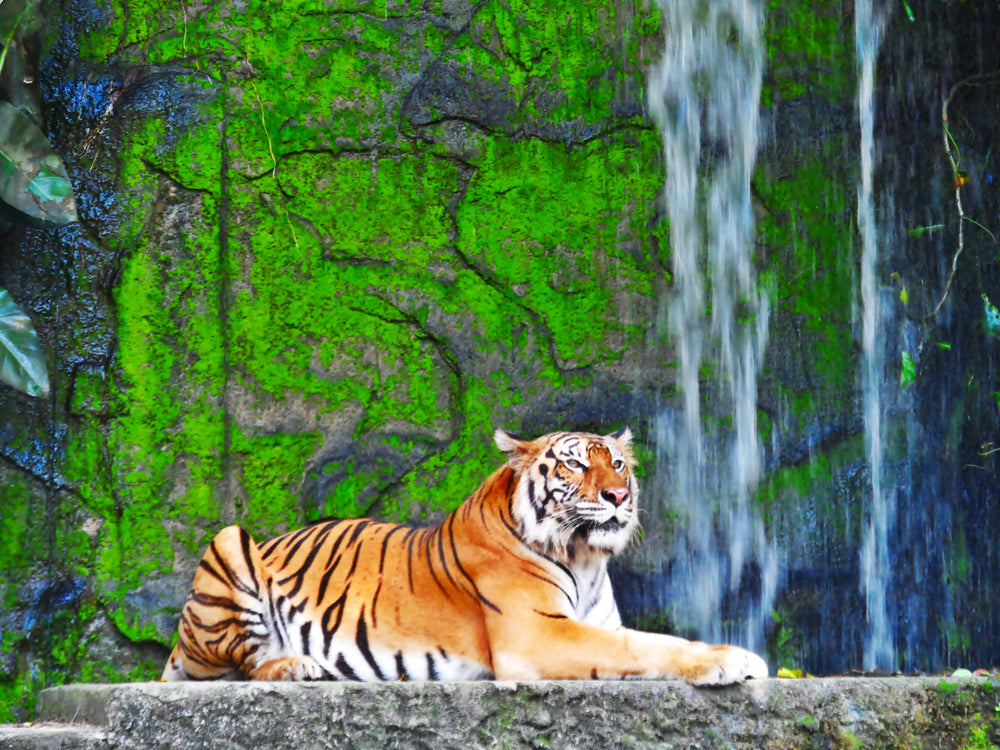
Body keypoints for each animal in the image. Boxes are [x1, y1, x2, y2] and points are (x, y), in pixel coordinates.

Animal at [161, 428, 768, 684]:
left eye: (617, 463)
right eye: (575, 464)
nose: (618, 496)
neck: (586, 557)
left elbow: (643, 640)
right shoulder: (538, 634)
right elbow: (644, 647)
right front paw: (732, 659)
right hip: (229, 541)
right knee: (240, 666)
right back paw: (296, 665)